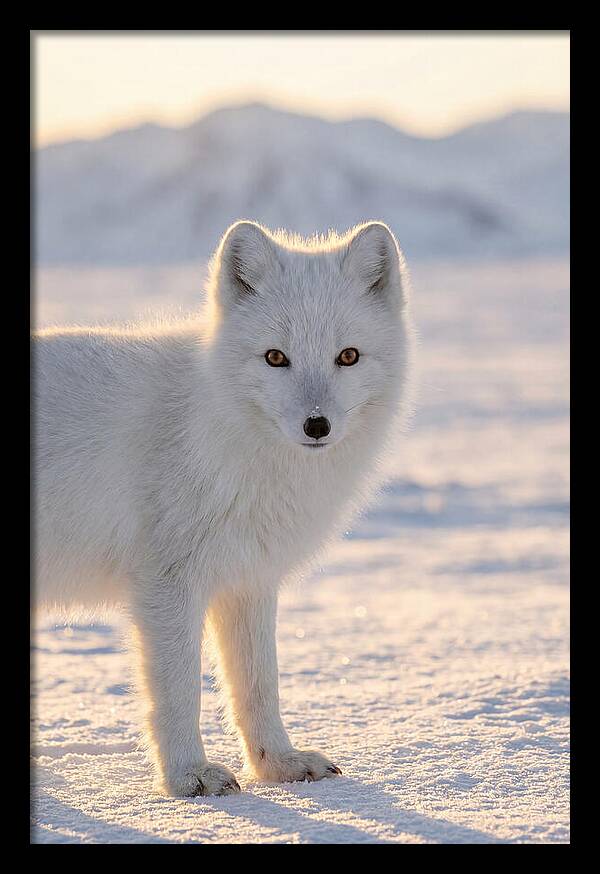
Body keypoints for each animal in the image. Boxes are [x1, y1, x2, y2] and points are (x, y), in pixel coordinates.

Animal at [32, 220, 414, 797]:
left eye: (347, 356)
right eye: (276, 357)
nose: (317, 425)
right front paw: (188, 777)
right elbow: (178, 691)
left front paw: (278, 764)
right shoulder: (167, 584)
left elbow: (259, 685)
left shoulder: (248, 579)